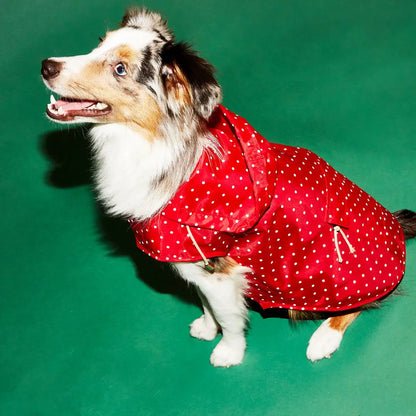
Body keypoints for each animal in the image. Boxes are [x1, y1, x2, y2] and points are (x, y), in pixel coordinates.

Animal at [41, 8, 416, 368]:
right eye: (98, 44)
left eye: (120, 69)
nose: (46, 66)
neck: (151, 140)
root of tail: (397, 225)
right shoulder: (196, 267)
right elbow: (205, 303)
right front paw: (207, 328)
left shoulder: (221, 271)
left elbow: (229, 318)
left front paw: (229, 352)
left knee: (360, 304)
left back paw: (324, 338)